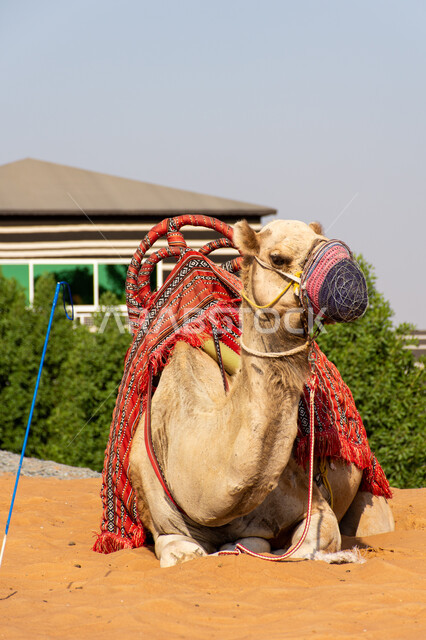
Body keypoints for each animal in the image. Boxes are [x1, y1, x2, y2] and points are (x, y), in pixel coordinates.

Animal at [129, 219, 394, 567]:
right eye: (278, 257)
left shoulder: (313, 504)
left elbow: (297, 545)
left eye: (322, 240)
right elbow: (184, 553)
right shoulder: (165, 525)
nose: (352, 286)